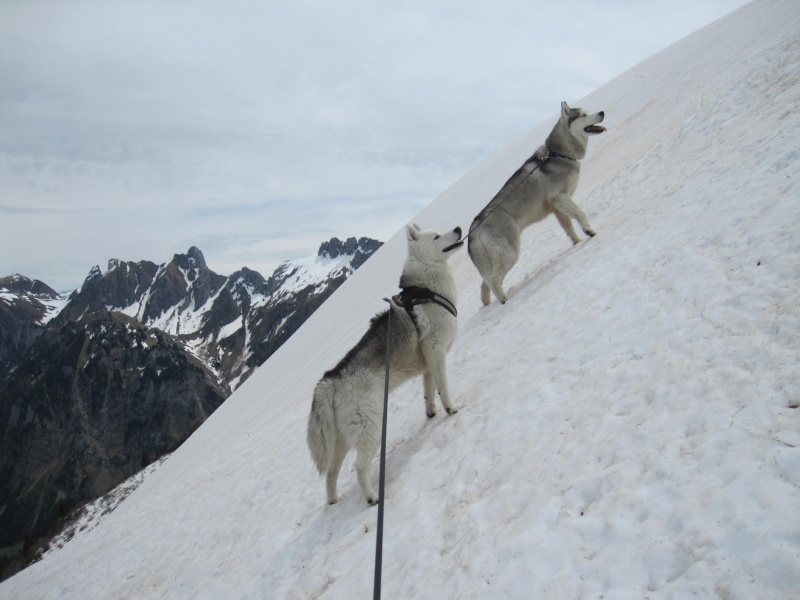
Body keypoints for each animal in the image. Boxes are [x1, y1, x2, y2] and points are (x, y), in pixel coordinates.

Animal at [306, 223, 462, 504]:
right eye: (436, 236)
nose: (457, 228)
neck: (429, 291)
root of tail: (330, 379)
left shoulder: (428, 364)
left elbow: (429, 392)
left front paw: (432, 414)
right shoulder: (436, 351)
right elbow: (443, 387)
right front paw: (451, 409)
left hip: (342, 440)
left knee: (332, 473)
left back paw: (334, 501)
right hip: (371, 427)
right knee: (359, 466)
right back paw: (372, 498)